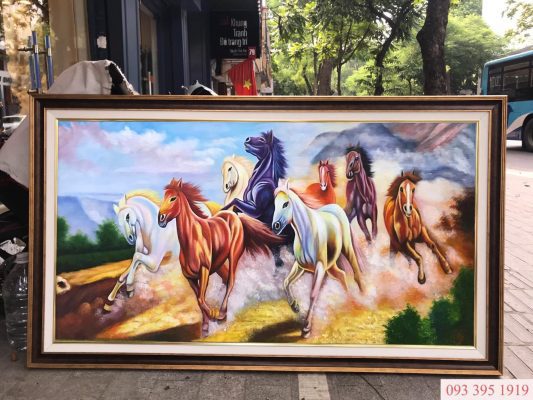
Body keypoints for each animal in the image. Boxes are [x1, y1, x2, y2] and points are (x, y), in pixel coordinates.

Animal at [158, 178, 284, 335]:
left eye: (173, 198)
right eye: (164, 197)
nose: (160, 218)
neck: (192, 240)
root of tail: (235, 216)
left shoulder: (204, 270)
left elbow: (201, 298)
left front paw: (214, 315)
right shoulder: (190, 277)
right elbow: (199, 299)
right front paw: (206, 327)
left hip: (233, 255)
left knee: (231, 281)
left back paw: (222, 314)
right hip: (218, 265)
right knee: (225, 280)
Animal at [221, 130, 291, 267]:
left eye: (262, 140)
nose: (247, 139)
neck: (261, 180)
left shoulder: (256, 210)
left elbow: (235, 201)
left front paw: (222, 210)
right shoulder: (249, 207)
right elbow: (236, 207)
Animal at [272, 180, 365, 338]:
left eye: (285, 204)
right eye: (274, 204)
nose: (275, 226)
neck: (306, 233)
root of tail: (335, 207)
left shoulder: (320, 267)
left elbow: (313, 294)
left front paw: (306, 329)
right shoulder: (300, 266)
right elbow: (285, 283)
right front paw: (295, 307)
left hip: (346, 248)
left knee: (355, 270)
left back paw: (362, 295)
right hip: (331, 266)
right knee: (341, 275)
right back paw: (347, 302)